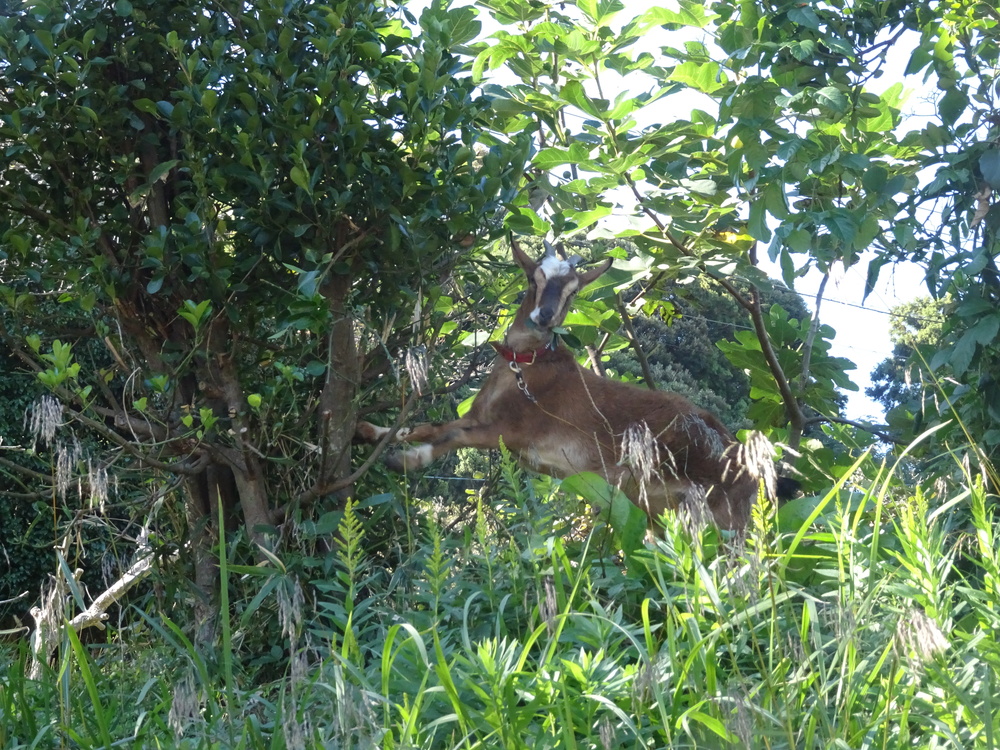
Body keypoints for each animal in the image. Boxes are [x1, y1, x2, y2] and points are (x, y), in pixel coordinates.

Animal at [356, 244, 768, 532]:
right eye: (532, 279)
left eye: (573, 292)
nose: (545, 316)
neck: (526, 368)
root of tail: (749, 466)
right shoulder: (479, 416)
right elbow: (428, 427)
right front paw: (370, 431)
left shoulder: (509, 432)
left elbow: (449, 438)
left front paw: (406, 460)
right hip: (661, 513)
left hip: (721, 521)